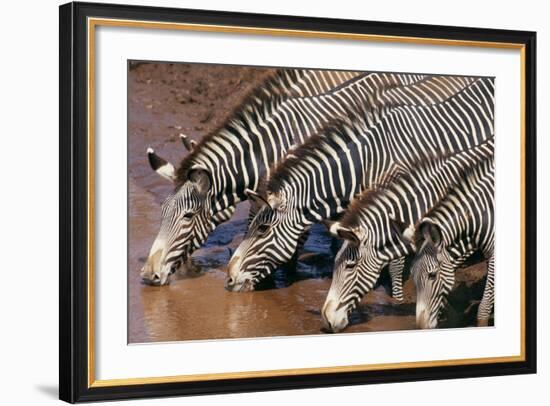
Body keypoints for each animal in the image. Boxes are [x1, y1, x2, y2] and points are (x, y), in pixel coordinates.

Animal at [141, 69, 366, 286]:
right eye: (163, 211)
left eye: (188, 216)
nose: (149, 275)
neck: (270, 152)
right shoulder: (261, 201)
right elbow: (252, 232)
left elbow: (290, 248)